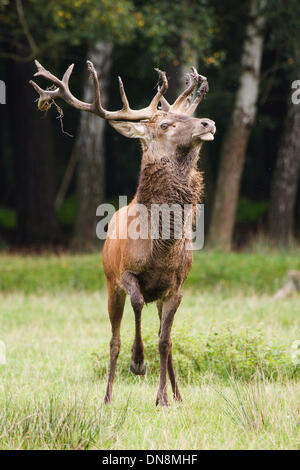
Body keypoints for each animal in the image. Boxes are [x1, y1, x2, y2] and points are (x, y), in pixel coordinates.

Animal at [30, 57, 216, 404]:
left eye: (187, 116)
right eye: (165, 124)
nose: (207, 123)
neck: (161, 247)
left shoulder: (176, 287)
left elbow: (166, 342)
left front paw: (164, 398)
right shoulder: (125, 273)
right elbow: (138, 304)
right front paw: (138, 363)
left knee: (164, 338)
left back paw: (177, 394)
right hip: (108, 284)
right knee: (113, 339)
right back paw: (107, 396)